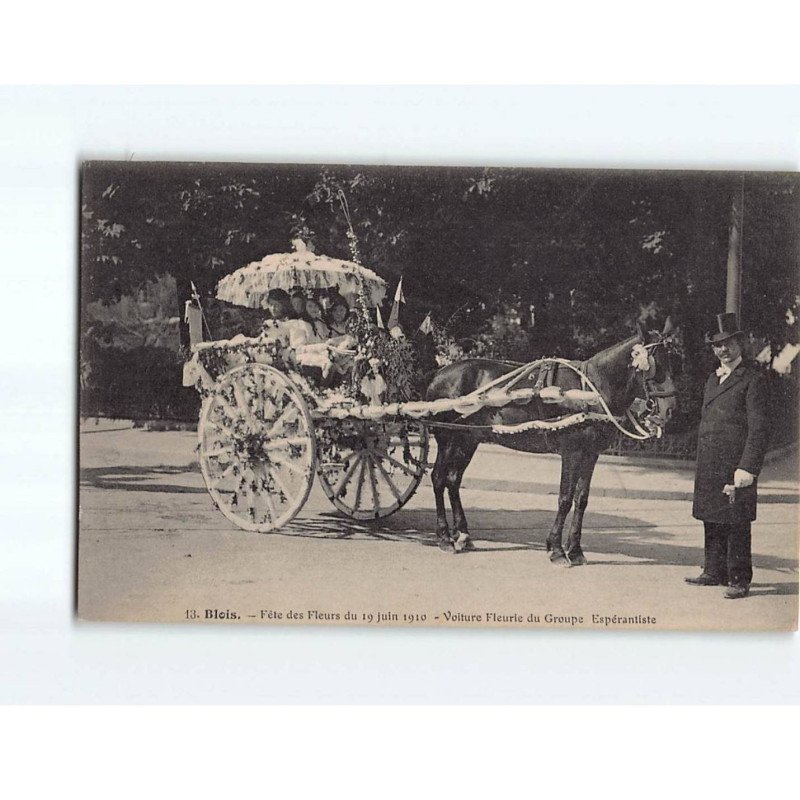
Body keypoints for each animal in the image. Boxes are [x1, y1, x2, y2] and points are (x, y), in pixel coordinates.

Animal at [422, 318, 680, 564]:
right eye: (654, 366)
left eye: (672, 362)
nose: (669, 410)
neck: (591, 390)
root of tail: (439, 374)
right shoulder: (571, 452)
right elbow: (565, 498)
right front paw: (556, 550)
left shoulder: (591, 454)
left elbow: (581, 499)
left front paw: (575, 550)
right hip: (447, 438)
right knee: (438, 478)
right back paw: (444, 537)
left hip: (467, 439)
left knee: (453, 480)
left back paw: (463, 535)